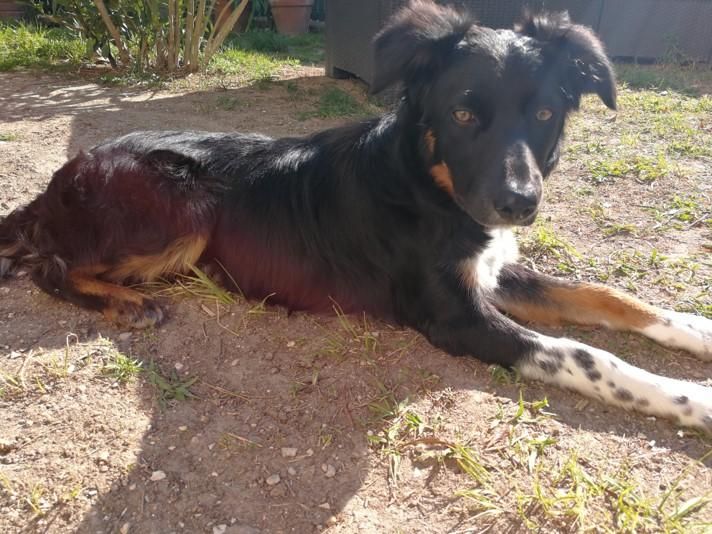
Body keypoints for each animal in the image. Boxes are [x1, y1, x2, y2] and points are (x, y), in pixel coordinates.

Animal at [1, 1, 710, 431]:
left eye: (543, 114)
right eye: (462, 114)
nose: (519, 203)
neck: (426, 186)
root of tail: (63, 174)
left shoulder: (488, 269)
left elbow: (605, 296)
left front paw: (695, 329)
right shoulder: (454, 316)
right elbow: (586, 354)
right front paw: (691, 399)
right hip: (184, 206)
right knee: (46, 266)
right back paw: (127, 301)